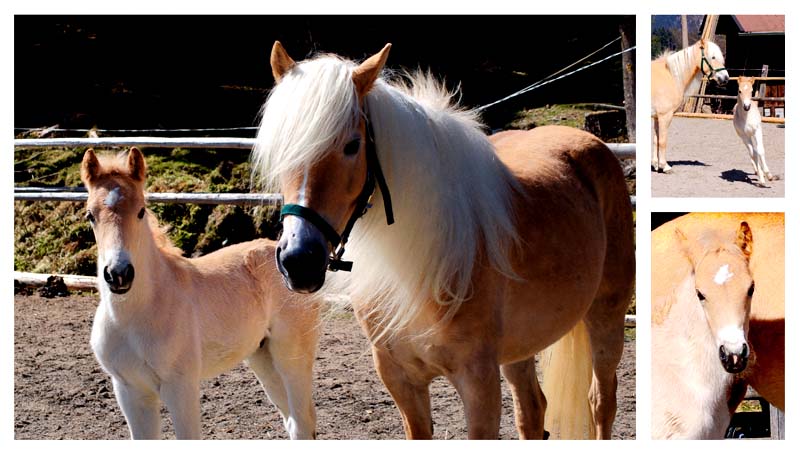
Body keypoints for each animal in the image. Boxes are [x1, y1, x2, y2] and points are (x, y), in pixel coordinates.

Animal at [80, 147, 318, 438]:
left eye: (141, 211)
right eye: (90, 215)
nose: (119, 274)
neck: (138, 313)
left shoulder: (180, 388)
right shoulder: (130, 391)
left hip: (291, 355)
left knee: (303, 421)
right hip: (263, 356)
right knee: (293, 421)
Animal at [253, 41, 636, 438]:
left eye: (352, 145)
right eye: (279, 148)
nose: (299, 261)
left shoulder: (478, 382)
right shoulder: (401, 380)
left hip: (606, 316)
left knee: (601, 401)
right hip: (519, 348)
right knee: (533, 410)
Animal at [648, 38, 732, 172]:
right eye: (713, 57)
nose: (725, 78)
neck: (671, 76)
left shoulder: (657, 117)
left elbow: (656, 140)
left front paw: (656, 165)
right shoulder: (665, 116)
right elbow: (663, 141)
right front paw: (665, 166)